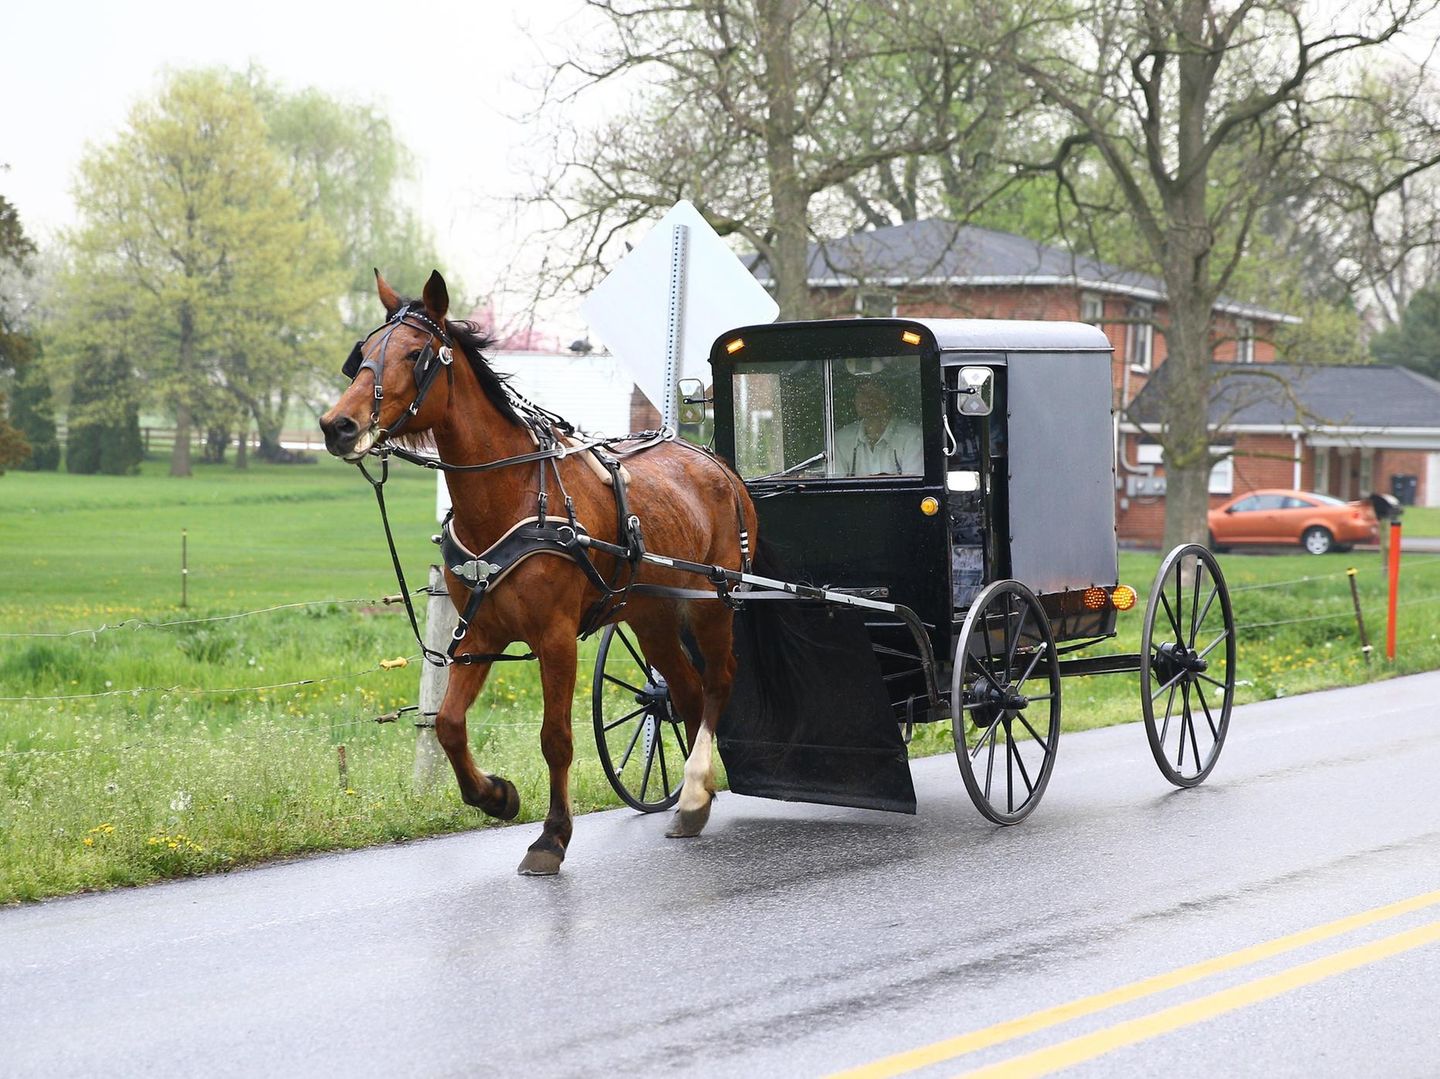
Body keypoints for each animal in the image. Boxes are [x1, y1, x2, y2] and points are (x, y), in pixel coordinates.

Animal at [321, 270, 760, 875]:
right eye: (362, 354)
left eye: (415, 354)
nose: (337, 426)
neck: (508, 497)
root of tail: (716, 464)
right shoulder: (478, 635)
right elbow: (449, 724)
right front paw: (495, 796)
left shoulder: (555, 638)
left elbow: (556, 738)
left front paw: (552, 836)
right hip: (649, 614)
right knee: (687, 691)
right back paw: (697, 801)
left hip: (713, 601)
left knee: (718, 681)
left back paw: (695, 787)